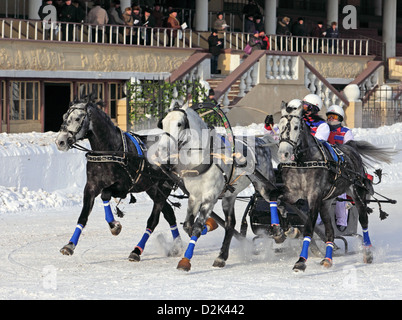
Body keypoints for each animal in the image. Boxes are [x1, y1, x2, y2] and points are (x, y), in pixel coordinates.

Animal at [152, 101, 282, 272]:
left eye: (179, 124)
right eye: (163, 123)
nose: (161, 150)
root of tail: (262, 142)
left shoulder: (210, 198)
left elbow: (197, 227)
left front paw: (185, 261)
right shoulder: (194, 197)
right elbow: (188, 226)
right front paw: (208, 227)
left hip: (263, 185)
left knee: (275, 198)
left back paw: (279, 231)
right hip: (229, 196)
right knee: (230, 224)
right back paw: (221, 257)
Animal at [278, 99, 394, 272]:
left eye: (296, 127)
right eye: (279, 126)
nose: (283, 153)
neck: (305, 162)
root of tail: (351, 148)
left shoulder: (314, 197)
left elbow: (309, 226)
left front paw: (301, 261)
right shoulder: (293, 194)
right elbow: (279, 202)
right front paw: (287, 229)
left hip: (356, 193)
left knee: (363, 219)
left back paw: (367, 253)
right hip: (326, 203)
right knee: (330, 231)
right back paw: (328, 259)